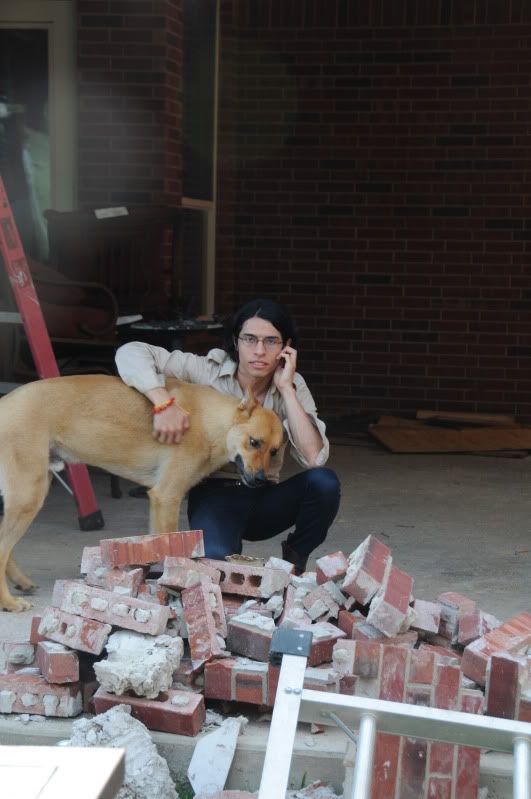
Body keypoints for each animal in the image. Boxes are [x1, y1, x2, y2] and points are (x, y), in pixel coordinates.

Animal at [0, 374, 284, 611]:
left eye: (273, 451)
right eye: (254, 442)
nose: (261, 481)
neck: (212, 421)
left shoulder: (158, 505)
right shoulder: (167, 498)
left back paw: (20, 582)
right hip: (29, 496)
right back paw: (10, 603)